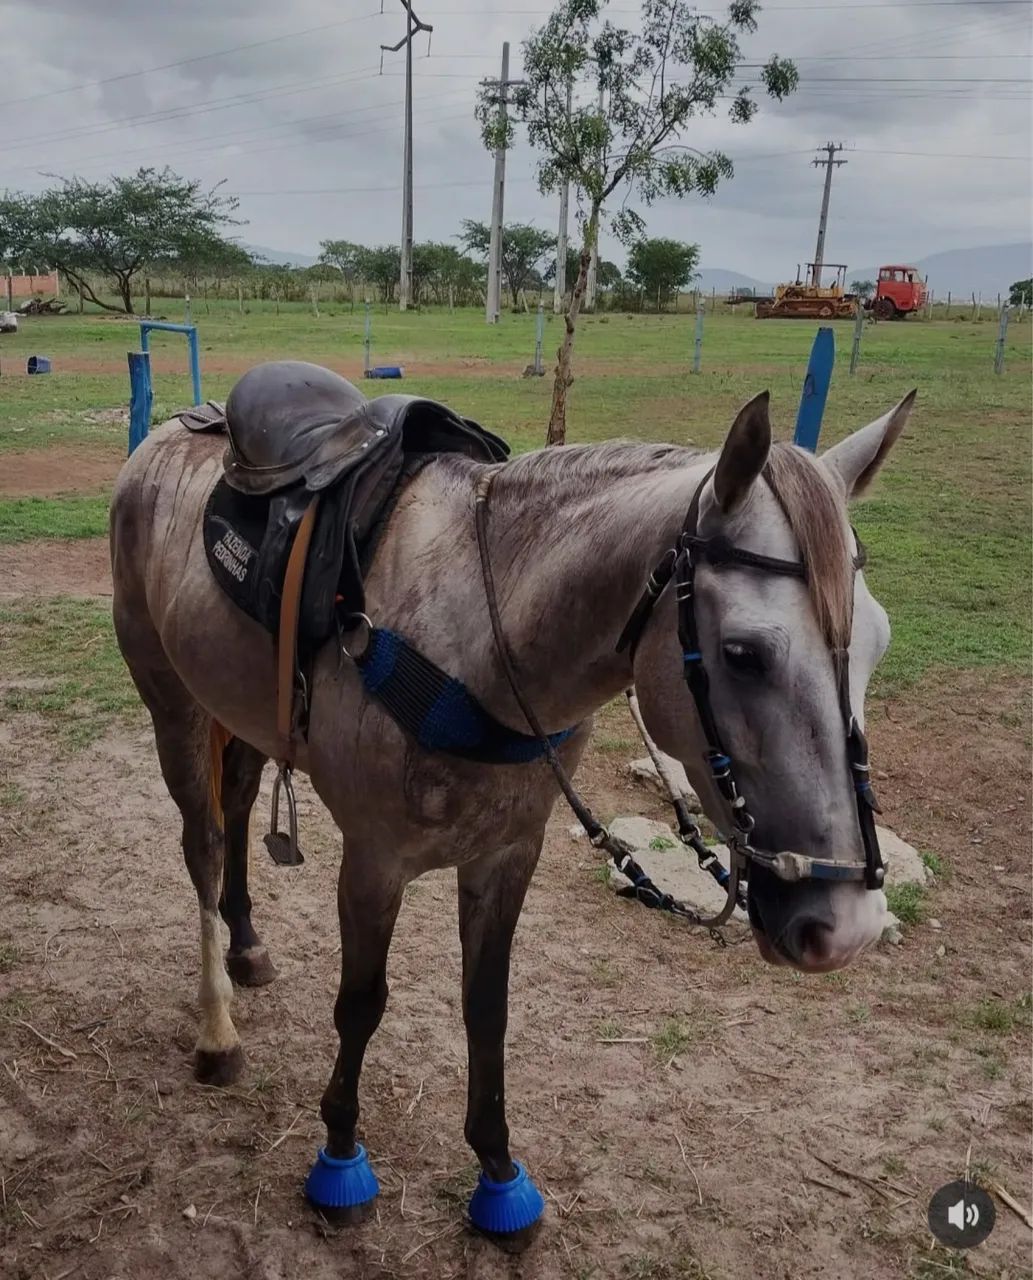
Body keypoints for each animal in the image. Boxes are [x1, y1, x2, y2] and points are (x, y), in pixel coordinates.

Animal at [109, 383, 915, 1237]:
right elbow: (361, 1005)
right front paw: (340, 1159)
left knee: (234, 808)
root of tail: (178, 427)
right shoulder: (372, 863)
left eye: (878, 643)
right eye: (741, 654)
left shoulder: (506, 855)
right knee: (202, 843)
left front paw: (496, 1172)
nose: (845, 928)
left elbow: (486, 1006)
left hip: (240, 708)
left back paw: (247, 945)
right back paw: (216, 1030)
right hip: (173, 702)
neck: (481, 644)